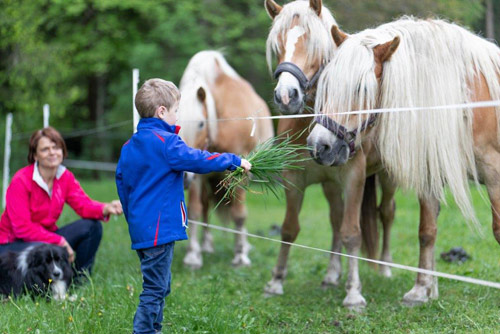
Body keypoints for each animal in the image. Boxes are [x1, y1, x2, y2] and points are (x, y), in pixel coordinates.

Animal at [179, 50, 276, 268]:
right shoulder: (198, 175)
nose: (184, 177)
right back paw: (206, 245)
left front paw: (240, 256)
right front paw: (193, 256)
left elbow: (239, 214)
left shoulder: (240, 173)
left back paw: (244, 246)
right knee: (206, 207)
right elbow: (195, 210)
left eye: (200, 124)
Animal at [264, 0, 396, 310]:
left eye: (313, 43)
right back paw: (332, 274)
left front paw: (354, 293)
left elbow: (352, 233)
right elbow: (289, 229)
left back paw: (384, 267)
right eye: (278, 44)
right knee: (336, 220)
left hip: (388, 178)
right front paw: (276, 282)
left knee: (386, 213)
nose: (286, 96)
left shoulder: (354, 178)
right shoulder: (294, 180)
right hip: (330, 184)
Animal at [308, 17, 500, 306]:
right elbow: (427, 231)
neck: (467, 101)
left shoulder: (494, 175)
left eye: (361, 88)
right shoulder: (431, 174)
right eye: (327, 86)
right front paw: (421, 290)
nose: (320, 146)